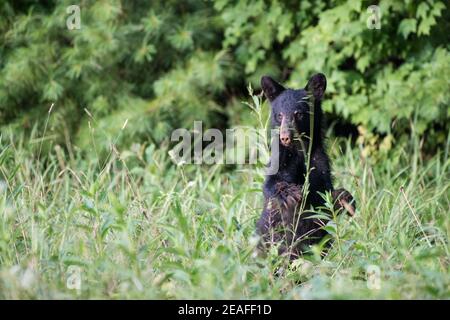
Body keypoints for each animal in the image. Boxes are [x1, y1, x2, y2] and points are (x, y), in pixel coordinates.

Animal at [256, 72, 356, 260]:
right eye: (279, 115)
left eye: (299, 114)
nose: (285, 137)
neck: (299, 150)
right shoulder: (280, 158)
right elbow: (271, 183)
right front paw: (289, 193)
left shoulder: (319, 162)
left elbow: (323, 195)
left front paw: (346, 200)